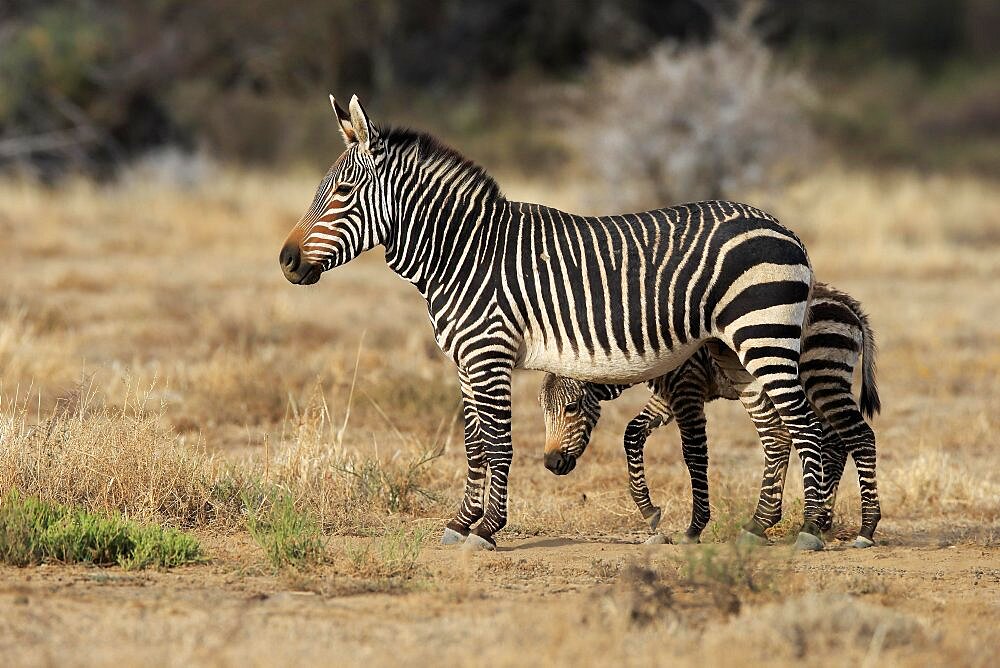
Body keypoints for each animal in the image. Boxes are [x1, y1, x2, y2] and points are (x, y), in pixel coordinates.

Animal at [280, 95, 828, 552]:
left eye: (344, 191)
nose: (286, 261)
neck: (463, 254)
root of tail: (786, 230)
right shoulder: (465, 361)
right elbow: (474, 443)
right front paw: (460, 523)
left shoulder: (489, 354)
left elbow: (498, 443)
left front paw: (487, 530)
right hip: (735, 351)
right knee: (776, 431)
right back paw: (758, 527)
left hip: (764, 338)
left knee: (806, 424)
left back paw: (813, 529)